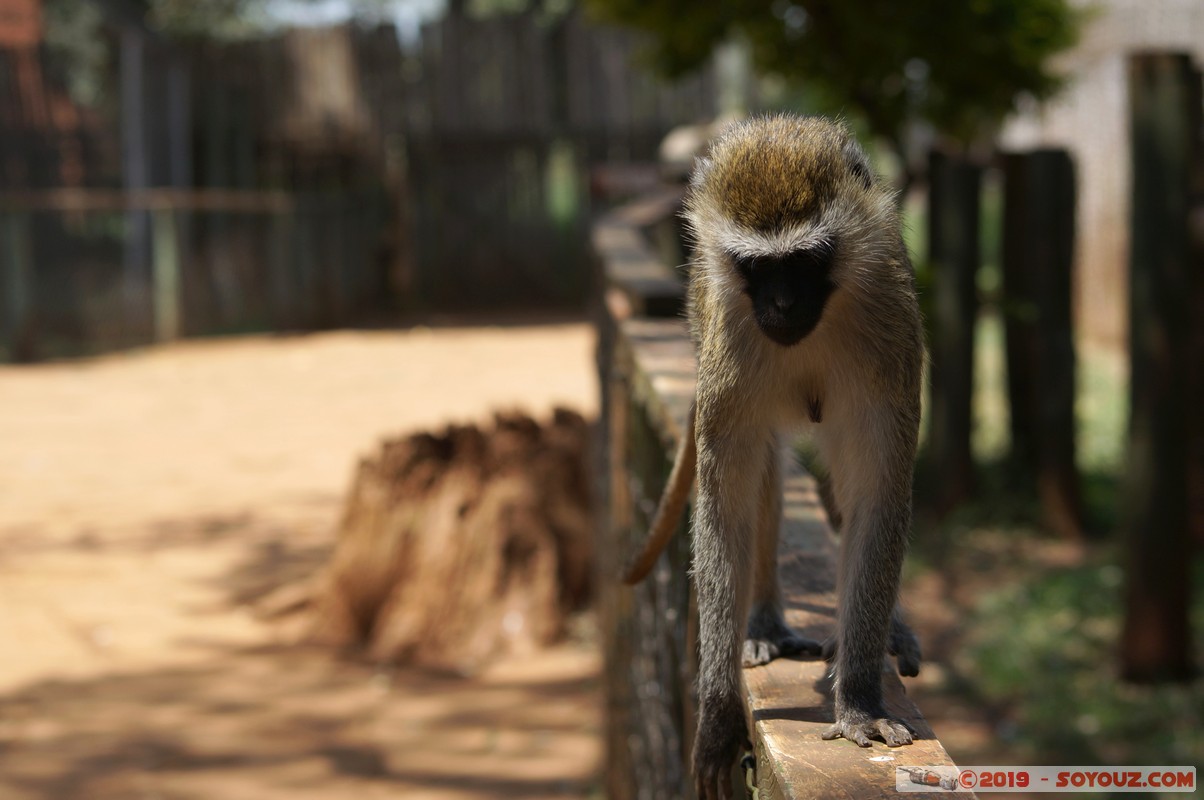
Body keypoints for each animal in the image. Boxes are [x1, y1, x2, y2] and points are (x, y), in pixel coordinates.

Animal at [621, 115, 919, 795]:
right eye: (755, 266)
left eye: (805, 260)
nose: (781, 305)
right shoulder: (728, 341)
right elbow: (725, 508)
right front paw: (717, 711)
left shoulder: (891, 341)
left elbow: (877, 497)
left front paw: (857, 697)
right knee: (757, 470)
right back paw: (761, 623)